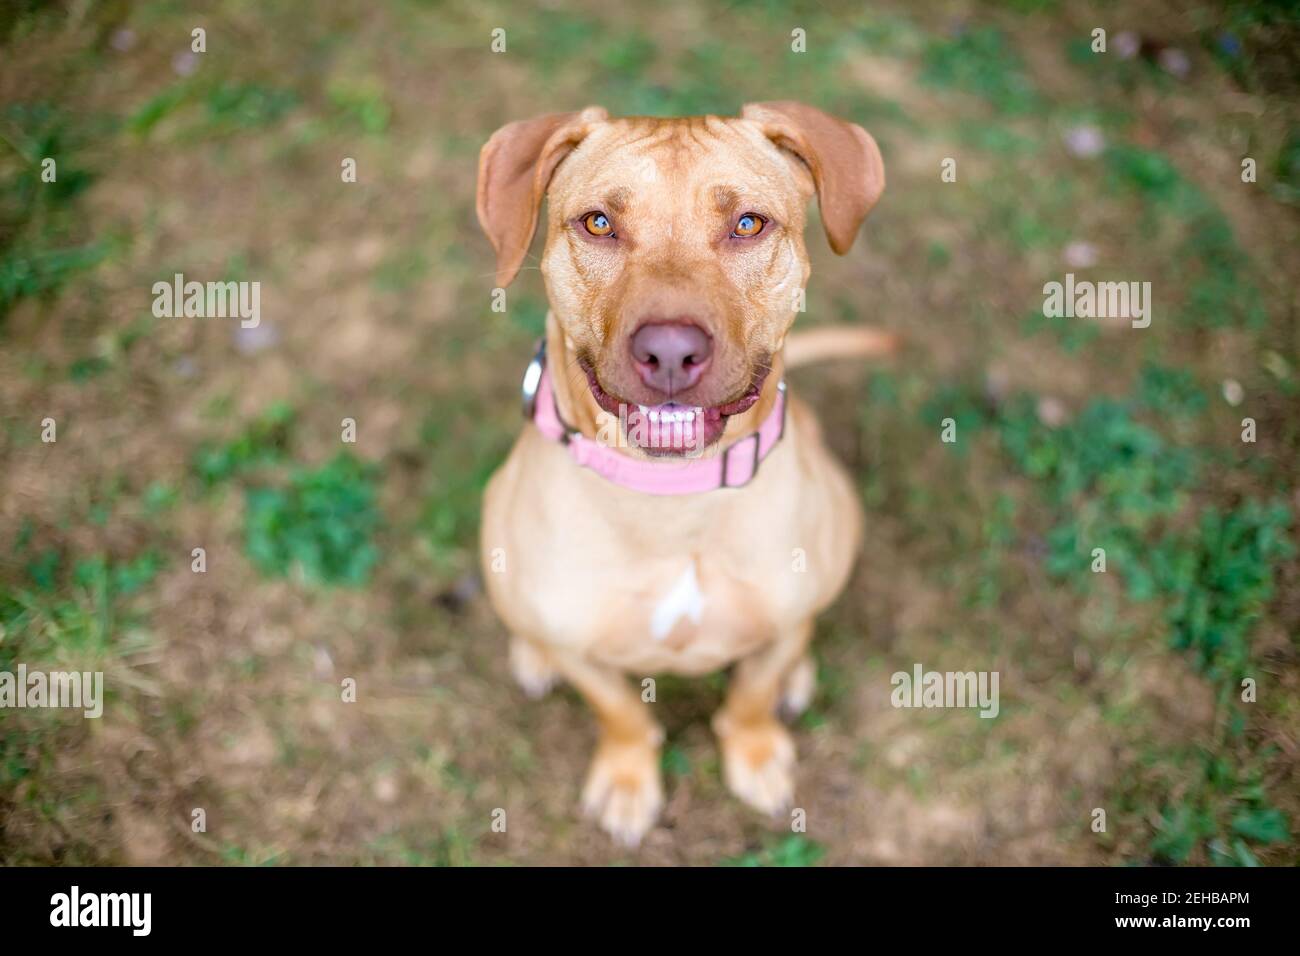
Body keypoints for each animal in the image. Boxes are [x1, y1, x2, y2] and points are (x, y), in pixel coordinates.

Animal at [478, 100, 894, 842]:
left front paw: (756, 753)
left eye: (748, 224)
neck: (672, 501)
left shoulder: (785, 618)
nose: (669, 351)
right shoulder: (584, 653)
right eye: (599, 223)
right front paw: (626, 779)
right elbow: (620, 713)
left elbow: (751, 695)